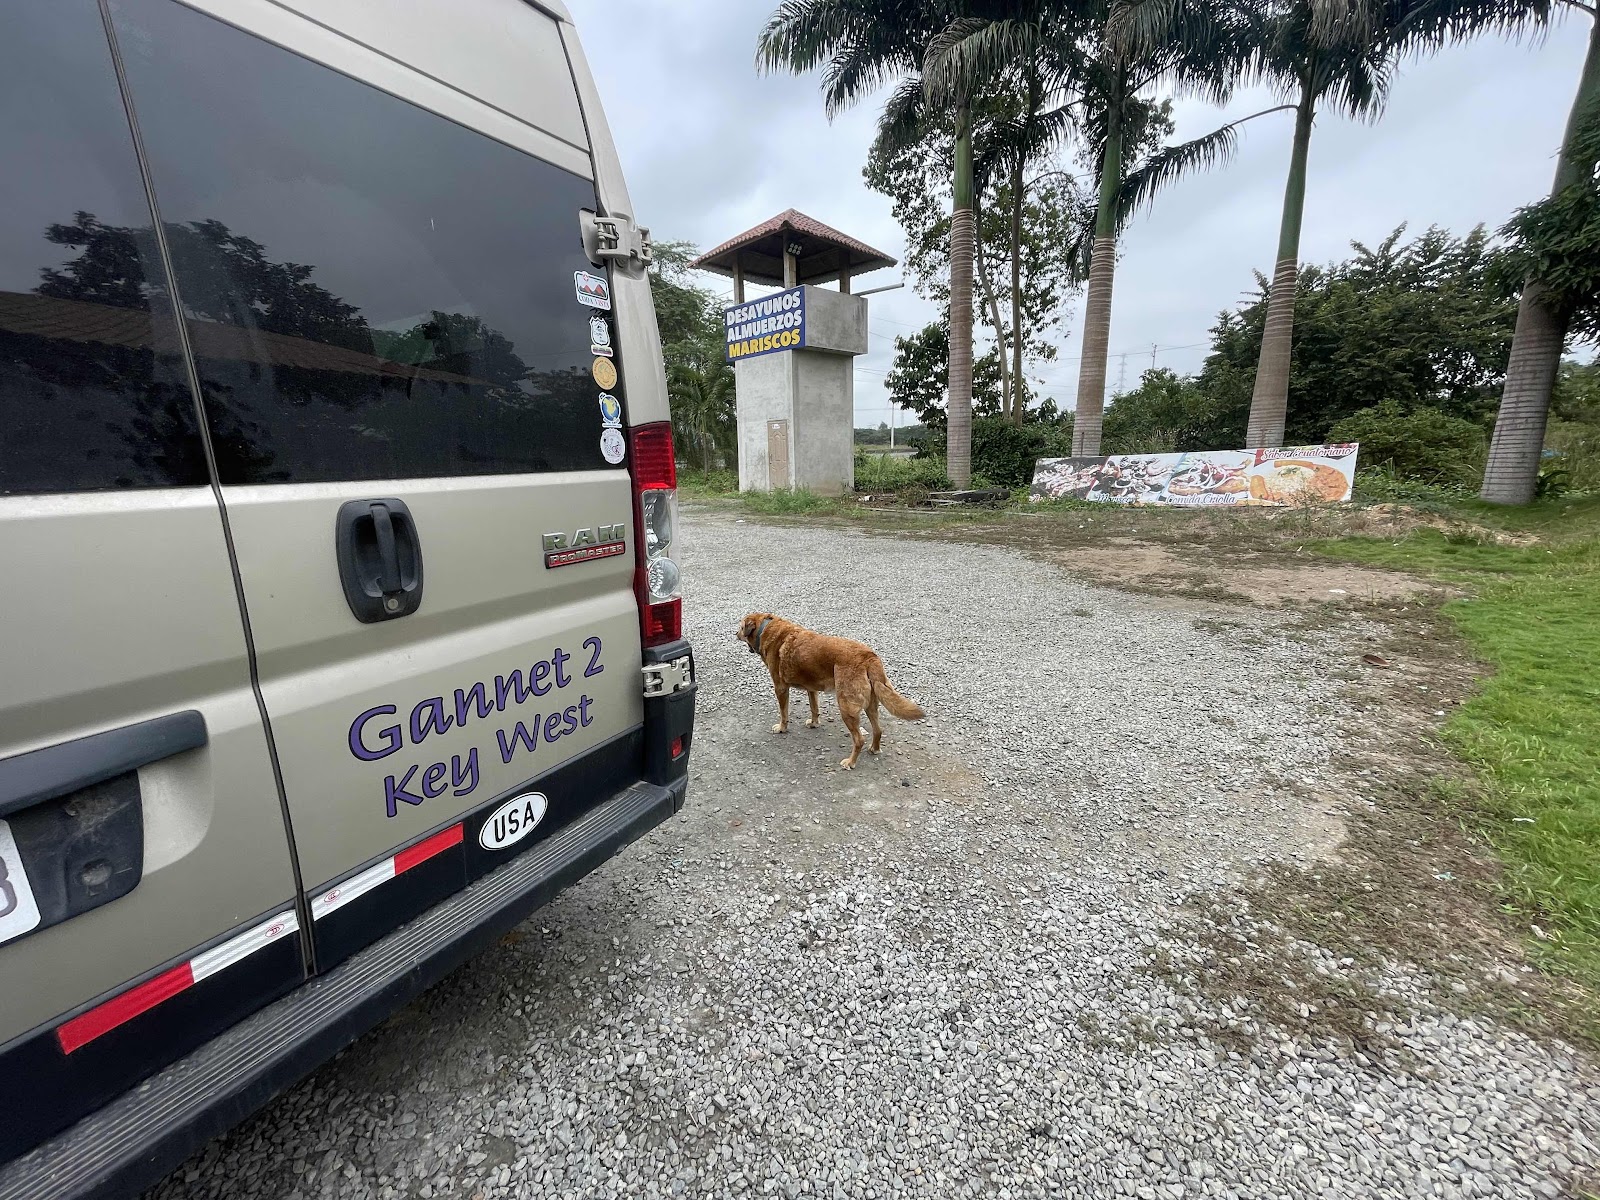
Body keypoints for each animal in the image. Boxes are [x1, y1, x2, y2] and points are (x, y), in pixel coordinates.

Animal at [737, 612, 925, 769]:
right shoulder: (812, 689)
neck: (766, 628)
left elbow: (784, 713)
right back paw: (874, 749)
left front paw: (782, 728)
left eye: (740, 626)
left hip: (846, 707)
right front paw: (814, 723)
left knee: (859, 739)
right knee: (878, 730)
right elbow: (814, 708)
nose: (734, 634)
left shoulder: (780, 688)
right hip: (871, 704)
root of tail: (869, 657)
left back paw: (850, 762)